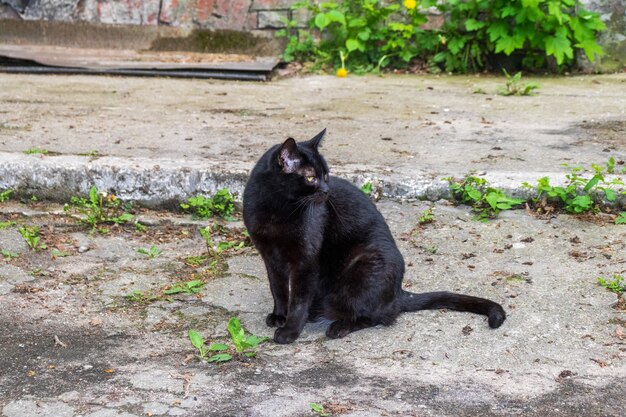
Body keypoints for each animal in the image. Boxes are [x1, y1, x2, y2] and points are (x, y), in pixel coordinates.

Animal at [241, 128, 504, 342]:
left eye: (326, 175)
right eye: (311, 177)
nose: (326, 190)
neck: (276, 210)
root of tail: (399, 293)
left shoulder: (305, 260)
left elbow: (298, 299)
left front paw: (289, 331)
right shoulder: (270, 256)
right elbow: (278, 289)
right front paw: (279, 315)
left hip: (365, 266)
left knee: (380, 316)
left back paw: (338, 326)